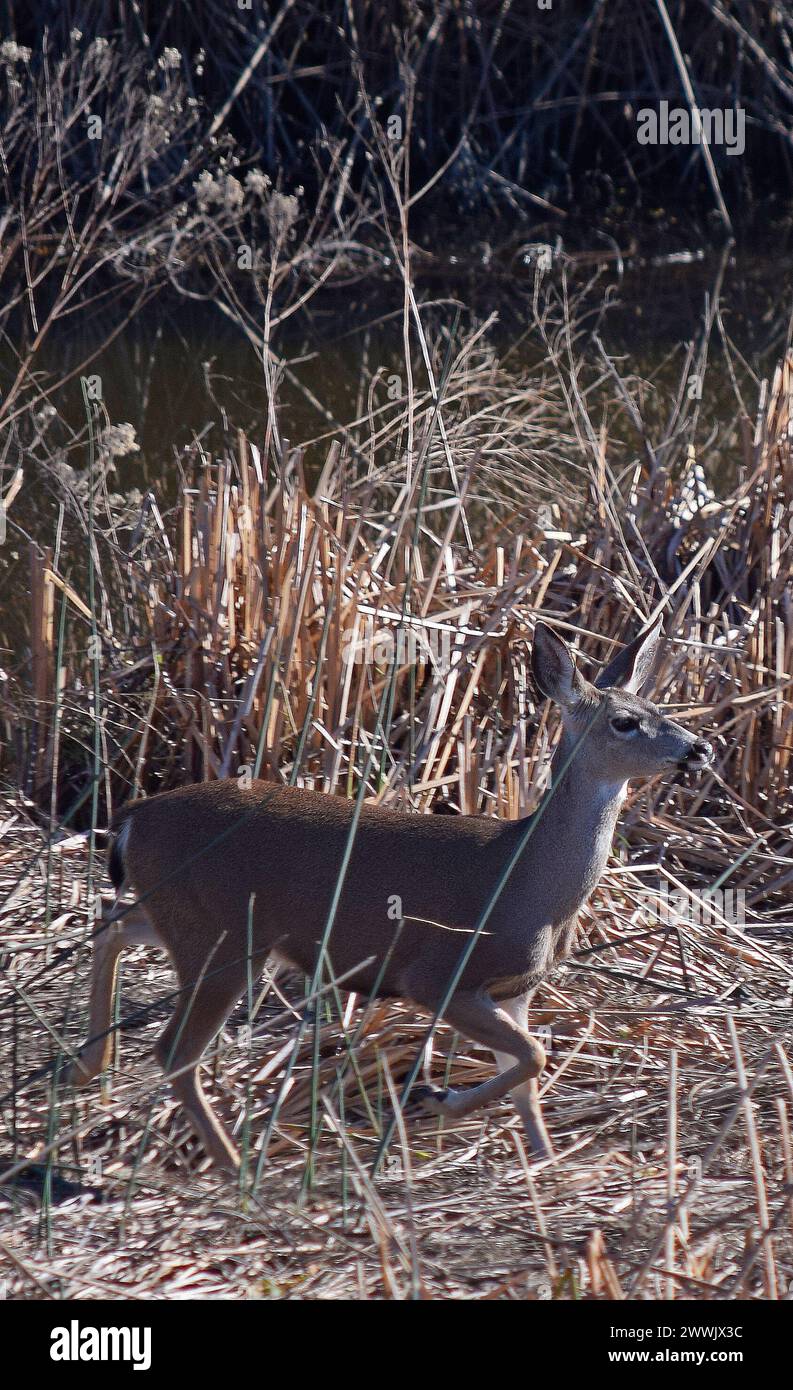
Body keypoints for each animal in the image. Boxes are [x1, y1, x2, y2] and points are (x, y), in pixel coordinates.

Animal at [66, 614, 711, 1167]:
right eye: (624, 721)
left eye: (657, 706)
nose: (698, 747)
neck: (527, 879)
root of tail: (133, 818)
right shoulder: (438, 974)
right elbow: (535, 1055)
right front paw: (434, 1101)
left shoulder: (516, 989)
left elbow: (527, 1078)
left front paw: (544, 1162)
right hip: (224, 936)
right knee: (176, 1050)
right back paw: (235, 1167)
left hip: (184, 915)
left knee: (110, 919)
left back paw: (89, 1064)